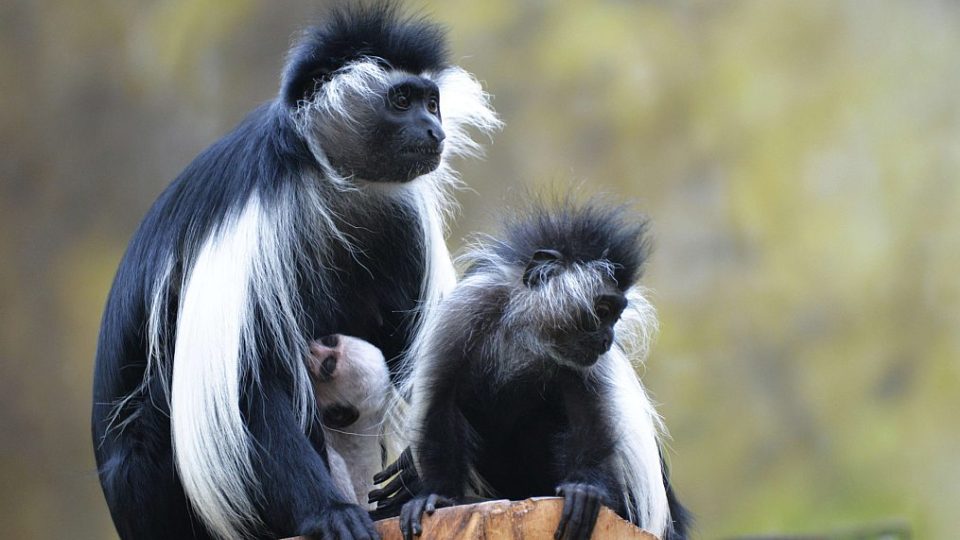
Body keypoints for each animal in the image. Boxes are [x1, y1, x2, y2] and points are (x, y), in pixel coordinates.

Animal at [390, 201, 688, 540]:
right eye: (602, 311)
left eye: (616, 315)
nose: (607, 339)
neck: (525, 334)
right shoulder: (463, 313)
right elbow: (440, 399)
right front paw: (437, 496)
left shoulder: (587, 364)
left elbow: (591, 421)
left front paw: (583, 491)